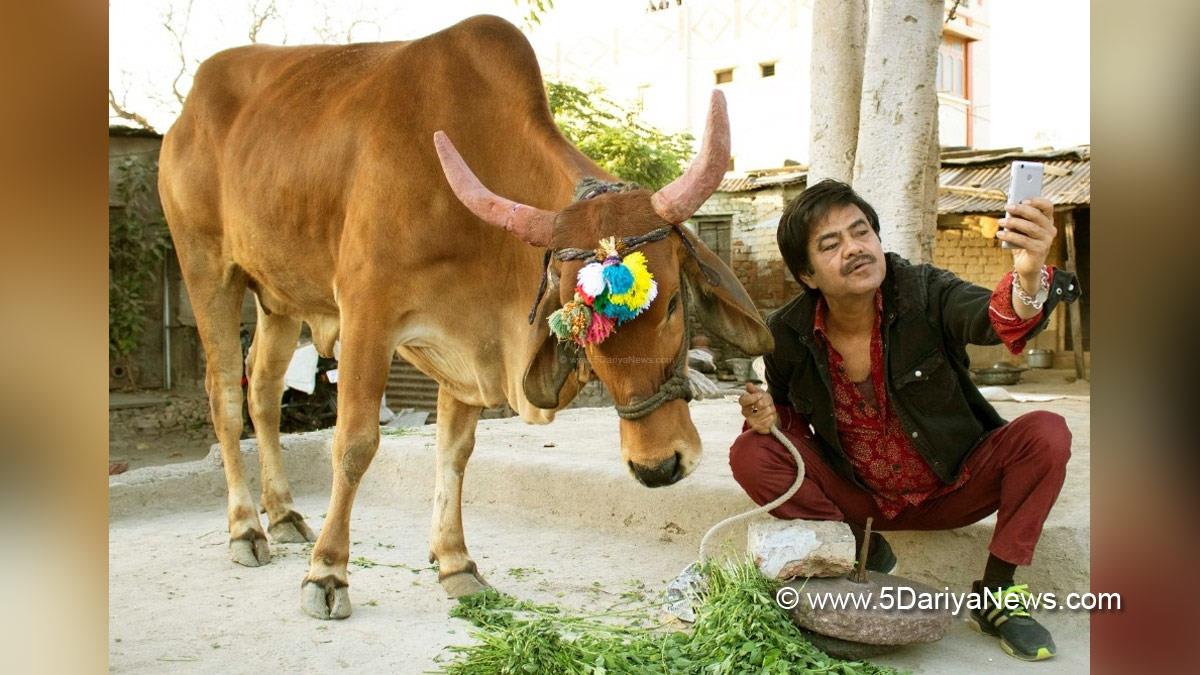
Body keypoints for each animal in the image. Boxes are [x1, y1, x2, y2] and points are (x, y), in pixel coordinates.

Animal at [158, 15, 773, 620]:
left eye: (673, 304)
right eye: (576, 319)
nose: (659, 467)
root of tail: (186, 113)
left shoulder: (467, 345)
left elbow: (455, 452)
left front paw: (455, 564)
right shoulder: (366, 315)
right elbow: (354, 444)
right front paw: (327, 572)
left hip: (278, 299)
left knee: (262, 388)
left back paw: (283, 515)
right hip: (207, 268)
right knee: (226, 395)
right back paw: (246, 529)